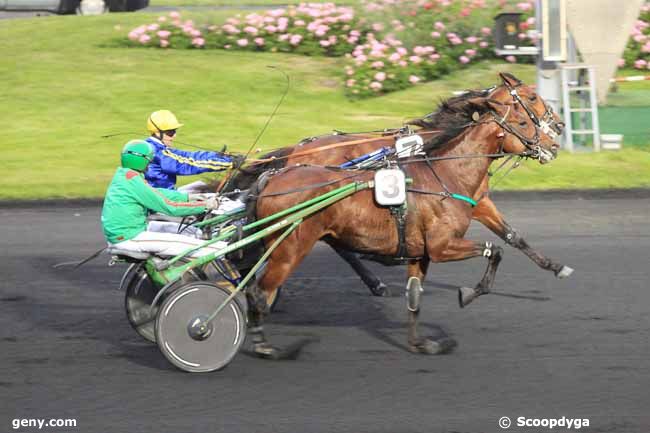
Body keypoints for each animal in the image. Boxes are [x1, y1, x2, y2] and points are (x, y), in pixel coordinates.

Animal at [225, 72, 568, 298]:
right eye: (532, 98)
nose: (560, 128)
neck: (444, 148)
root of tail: (296, 151)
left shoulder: (478, 201)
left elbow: (513, 236)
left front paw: (554, 266)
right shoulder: (475, 201)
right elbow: (507, 238)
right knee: (336, 246)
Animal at [246, 90, 560, 354]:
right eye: (525, 116)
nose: (554, 142)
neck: (444, 174)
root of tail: (273, 177)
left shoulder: (421, 252)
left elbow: (415, 297)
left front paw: (420, 343)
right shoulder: (443, 246)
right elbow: (495, 250)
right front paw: (468, 293)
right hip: (290, 248)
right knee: (258, 289)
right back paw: (264, 343)